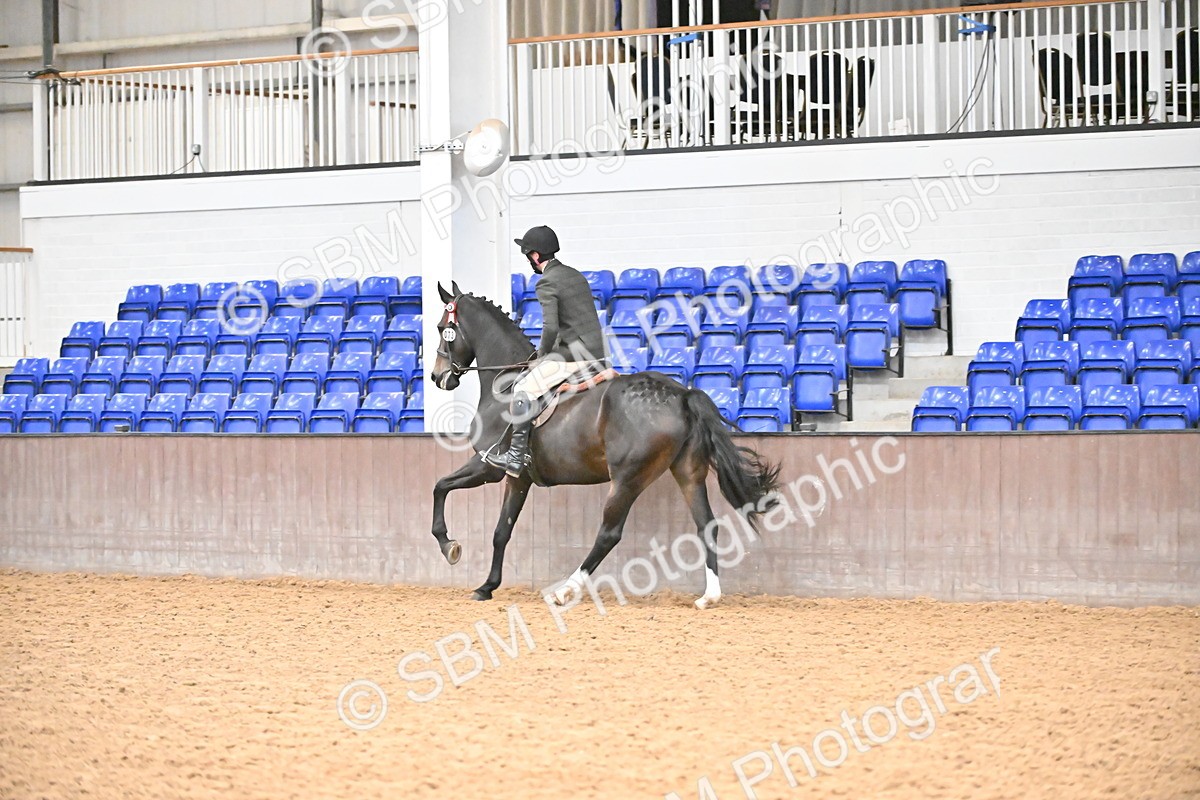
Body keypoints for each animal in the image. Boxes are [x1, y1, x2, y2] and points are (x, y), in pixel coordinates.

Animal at [428, 282, 781, 610]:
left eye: (442, 328)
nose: (437, 377)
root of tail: (683, 394)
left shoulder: (489, 466)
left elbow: (440, 487)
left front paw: (449, 547)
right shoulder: (519, 479)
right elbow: (501, 531)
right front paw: (487, 586)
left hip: (627, 480)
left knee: (609, 534)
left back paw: (563, 591)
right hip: (688, 473)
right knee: (706, 525)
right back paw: (709, 596)